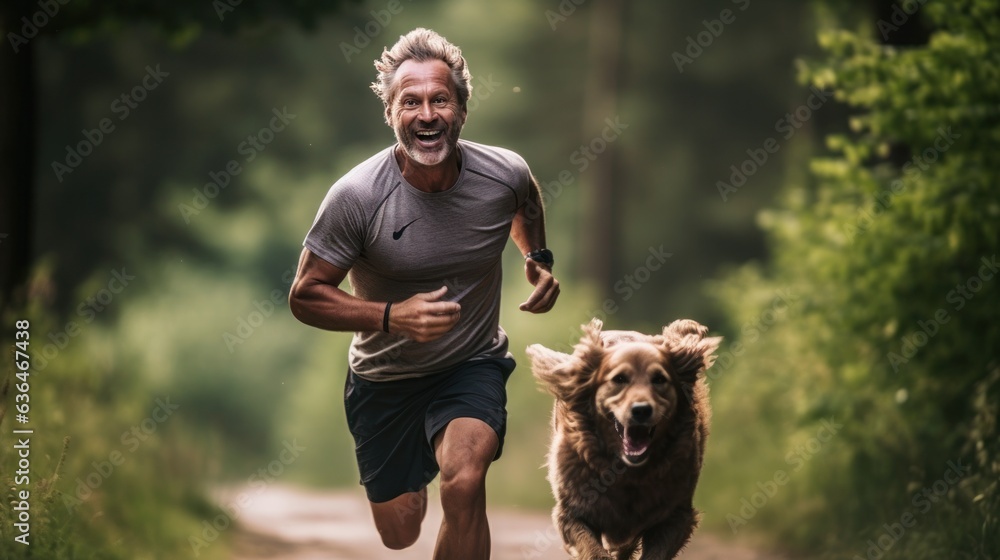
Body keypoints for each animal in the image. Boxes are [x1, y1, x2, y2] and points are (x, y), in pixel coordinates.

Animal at [528, 320, 724, 560]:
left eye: (659, 379)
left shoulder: (675, 516)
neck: (627, 472)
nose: (641, 410)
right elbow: (594, 551)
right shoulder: (573, 512)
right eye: (619, 379)